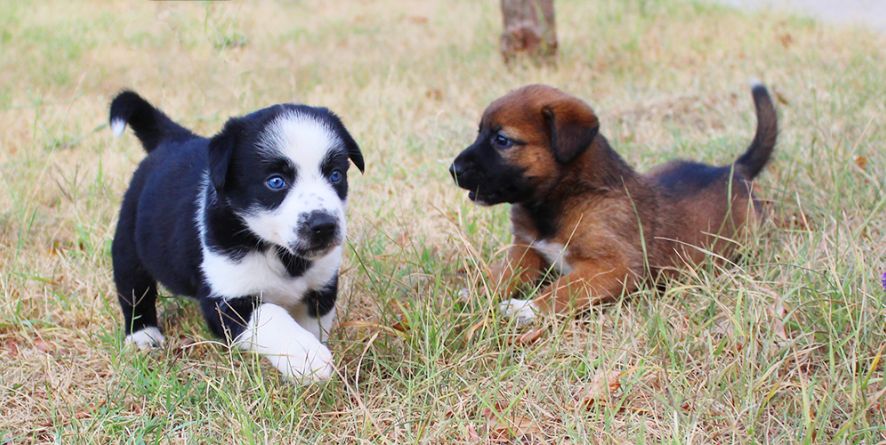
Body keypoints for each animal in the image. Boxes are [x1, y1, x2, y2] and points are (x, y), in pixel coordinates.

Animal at [110, 90, 364, 382]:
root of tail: (174, 139)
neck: (281, 254)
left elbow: (313, 325)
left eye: (335, 175)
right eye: (276, 182)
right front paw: (306, 356)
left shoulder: (320, 288)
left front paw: (302, 364)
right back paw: (143, 334)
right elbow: (272, 317)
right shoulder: (226, 302)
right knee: (133, 290)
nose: (324, 225)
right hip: (128, 247)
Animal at [450, 82, 776, 322]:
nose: (453, 169)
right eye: (480, 133)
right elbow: (503, 273)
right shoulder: (526, 250)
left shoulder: (613, 267)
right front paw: (479, 291)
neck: (564, 198)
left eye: (502, 140)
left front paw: (526, 308)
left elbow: (564, 289)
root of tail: (733, 170)